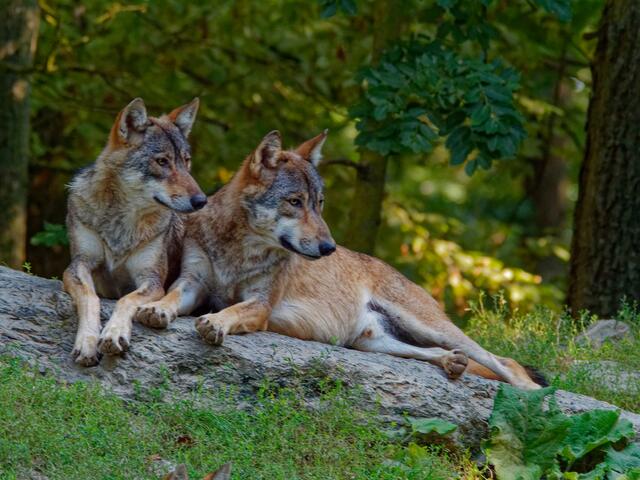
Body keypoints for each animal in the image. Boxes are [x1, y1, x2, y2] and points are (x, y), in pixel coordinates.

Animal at [63, 97, 206, 366]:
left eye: (186, 161)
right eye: (162, 161)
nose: (201, 201)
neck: (121, 222)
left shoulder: (152, 279)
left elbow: (126, 299)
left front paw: (114, 334)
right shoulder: (79, 264)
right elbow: (90, 296)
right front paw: (87, 343)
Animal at [136, 131, 543, 389]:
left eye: (319, 203)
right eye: (295, 202)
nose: (329, 247)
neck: (237, 249)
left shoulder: (261, 305)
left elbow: (232, 311)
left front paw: (215, 323)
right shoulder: (193, 283)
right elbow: (171, 297)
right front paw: (156, 311)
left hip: (429, 325)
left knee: (504, 362)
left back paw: (533, 395)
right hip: (371, 342)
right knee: (437, 354)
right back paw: (450, 363)